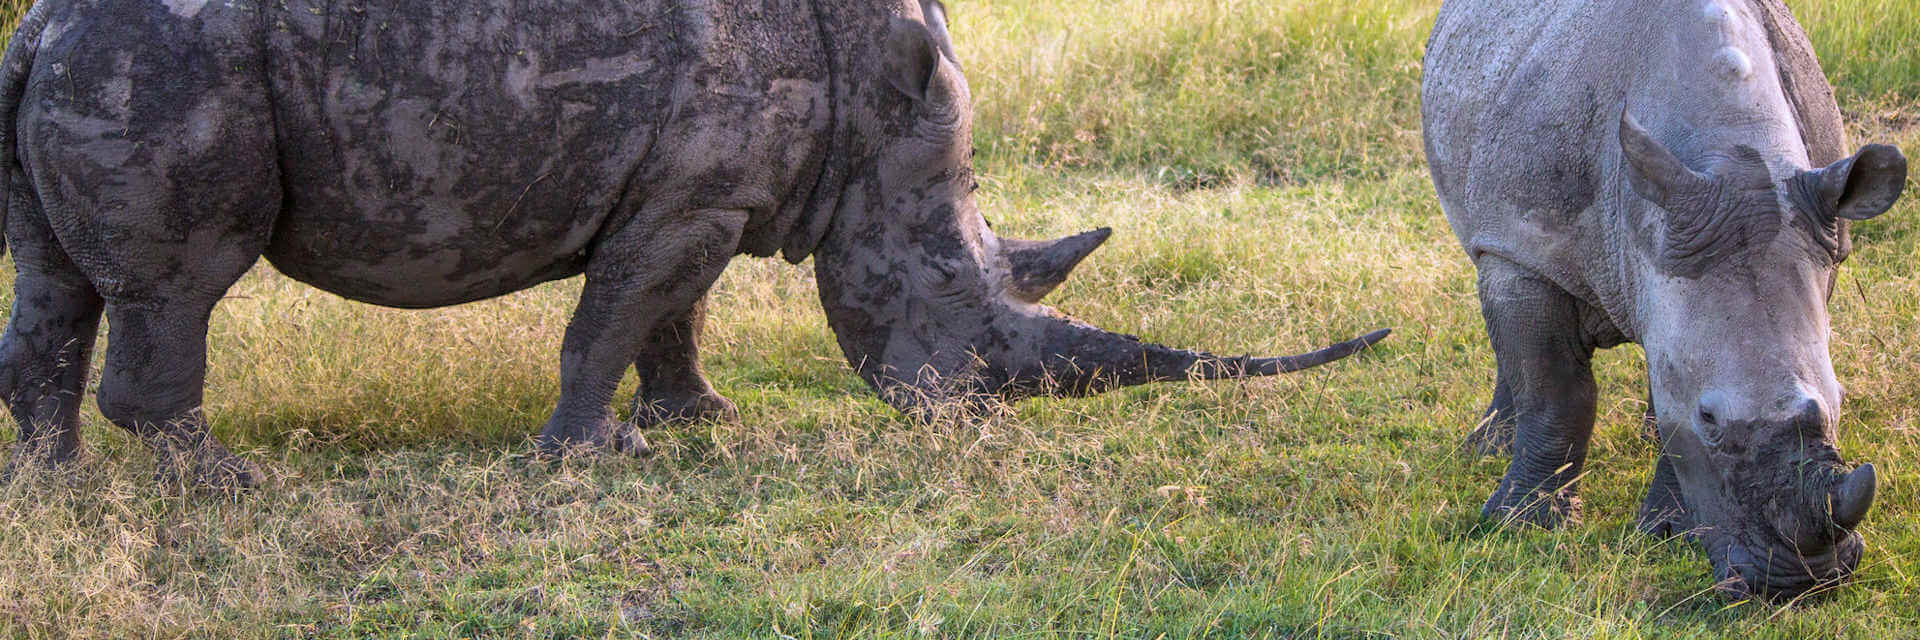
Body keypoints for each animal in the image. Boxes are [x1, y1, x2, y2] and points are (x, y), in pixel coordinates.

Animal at [0, 0, 1387, 486]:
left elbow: (669, 315)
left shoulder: (695, 191)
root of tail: (41, 25)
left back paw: (54, 485)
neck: (870, 101)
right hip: (165, 69)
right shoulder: (693, 199)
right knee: (182, 282)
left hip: (83, 68)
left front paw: (698, 422)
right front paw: (581, 457)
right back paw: (217, 483)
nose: (972, 417)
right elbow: (612, 317)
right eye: (947, 285)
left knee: (58, 279)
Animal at [1424, 0, 1905, 598]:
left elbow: (1666, 399)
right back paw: (1487, 450)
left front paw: (1667, 535)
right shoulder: (1526, 247)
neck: (1733, 153)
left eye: (1841, 400)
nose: (1802, 581)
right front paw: (1520, 525)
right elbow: (1555, 391)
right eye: (1710, 418)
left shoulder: (1818, 248)